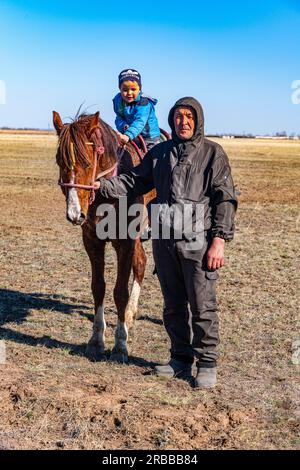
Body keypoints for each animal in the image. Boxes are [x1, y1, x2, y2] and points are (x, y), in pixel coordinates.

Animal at [52, 111, 152, 364]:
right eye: (59, 161)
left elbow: (120, 291)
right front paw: (96, 340)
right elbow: (98, 286)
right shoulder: (92, 240)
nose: (75, 214)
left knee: (140, 265)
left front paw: (120, 344)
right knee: (141, 261)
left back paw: (129, 313)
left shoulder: (125, 242)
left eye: (88, 162)